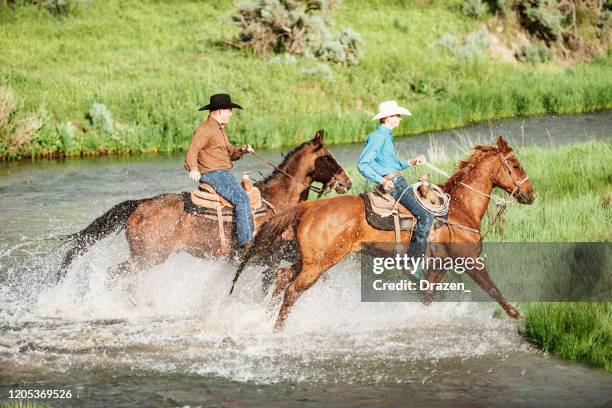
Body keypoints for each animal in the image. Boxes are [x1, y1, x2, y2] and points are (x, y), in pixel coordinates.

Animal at [58, 130, 354, 280]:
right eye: (328, 157)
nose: (347, 181)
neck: (278, 202)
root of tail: (140, 206)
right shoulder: (269, 260)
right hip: (147, 258)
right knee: (114, 274)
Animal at [232, 137, 532, 332]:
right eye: (516, 165)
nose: (530, 194)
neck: (459, 208)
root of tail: (307, 207)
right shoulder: (470, 261)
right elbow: (492, 289)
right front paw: (518, 316)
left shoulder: (439, 266)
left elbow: (426, 298)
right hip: (319, 265)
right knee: (292, 291)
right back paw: (277, 330)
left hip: (310, 259)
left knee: (283, 277)